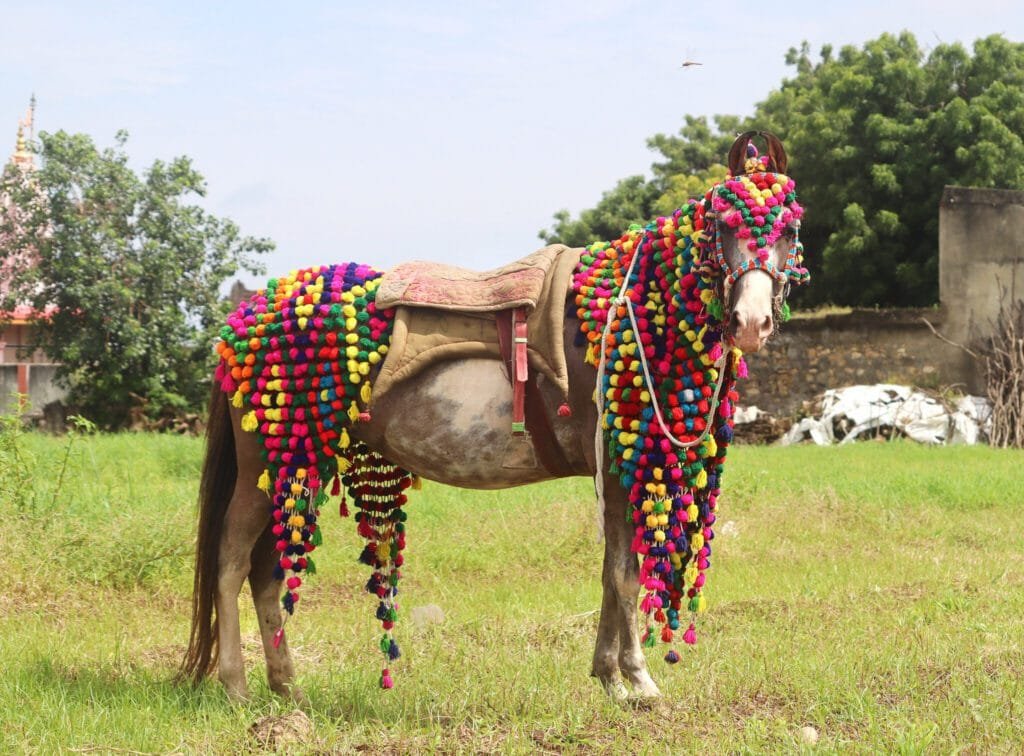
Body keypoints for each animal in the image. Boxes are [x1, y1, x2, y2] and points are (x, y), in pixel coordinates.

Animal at [180, 131, 809, 702]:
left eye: (789, 229)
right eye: (722, 224)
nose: (751, 322)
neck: (629, 309)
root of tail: (241, 321)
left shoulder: (625, 467)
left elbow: (613, 571)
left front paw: (607, 674)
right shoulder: (620, 461)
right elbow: (624, 574)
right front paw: (636, 679)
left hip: (299, 461)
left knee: (265, 569)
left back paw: (287, 686)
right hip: (264, 462)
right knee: (231, 562)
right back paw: (236, 686)